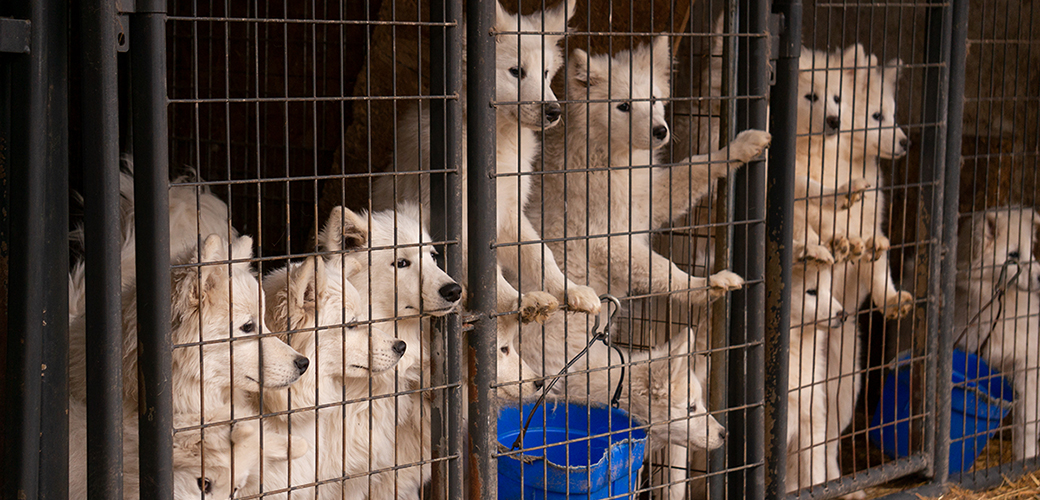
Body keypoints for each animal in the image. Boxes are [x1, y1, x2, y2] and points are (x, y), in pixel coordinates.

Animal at [374, 0, 603, 322]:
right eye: (516, 71)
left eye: (546, 73)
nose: (554, 111)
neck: (497, 140)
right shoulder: (461, 219)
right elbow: (487, 274)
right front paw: (519, 301)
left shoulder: (508, 213)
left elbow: (539, 253)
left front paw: (569, 290)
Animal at [532, 36, 769, 313]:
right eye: (623, 106)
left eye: (654, 99)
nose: (661, 131)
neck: (609, 157)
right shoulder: (606, 238)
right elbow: (663, 268)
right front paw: (705, 286)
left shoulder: (649, 199)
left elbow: (695, 165)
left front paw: (740, 147)